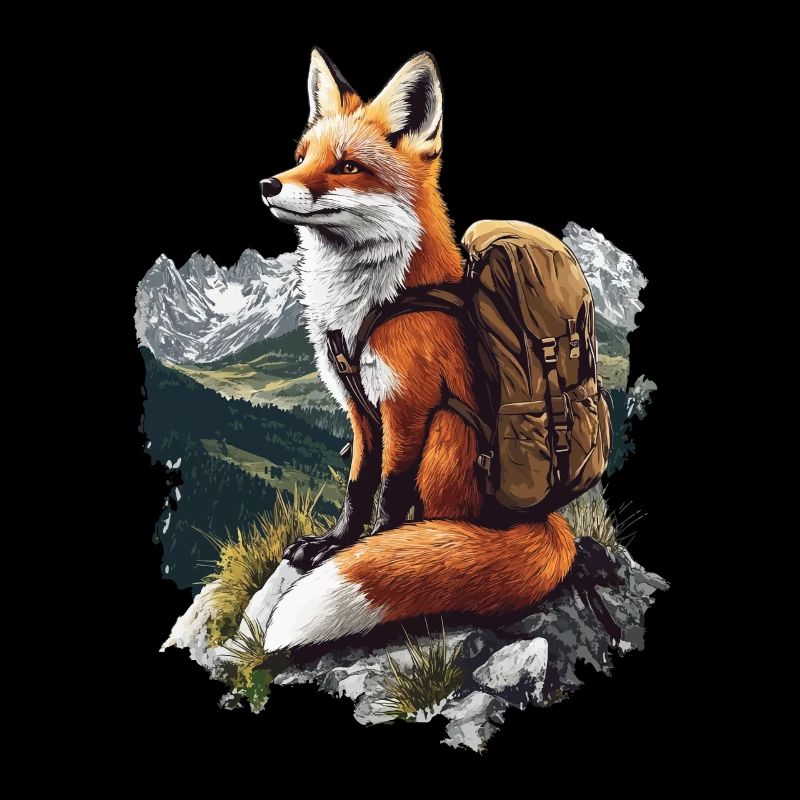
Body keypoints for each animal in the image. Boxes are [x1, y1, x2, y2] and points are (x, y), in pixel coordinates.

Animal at [256, 49, 604, 653]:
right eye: (302, 158)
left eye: (347, 166)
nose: (268, 183)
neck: (367, 307)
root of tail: (542, 519)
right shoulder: (360, 410)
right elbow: (357, 486)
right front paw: (333, 544)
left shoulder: (409, 405)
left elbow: (390, 495)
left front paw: (370, 547)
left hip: (448, 430)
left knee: (448, 523)